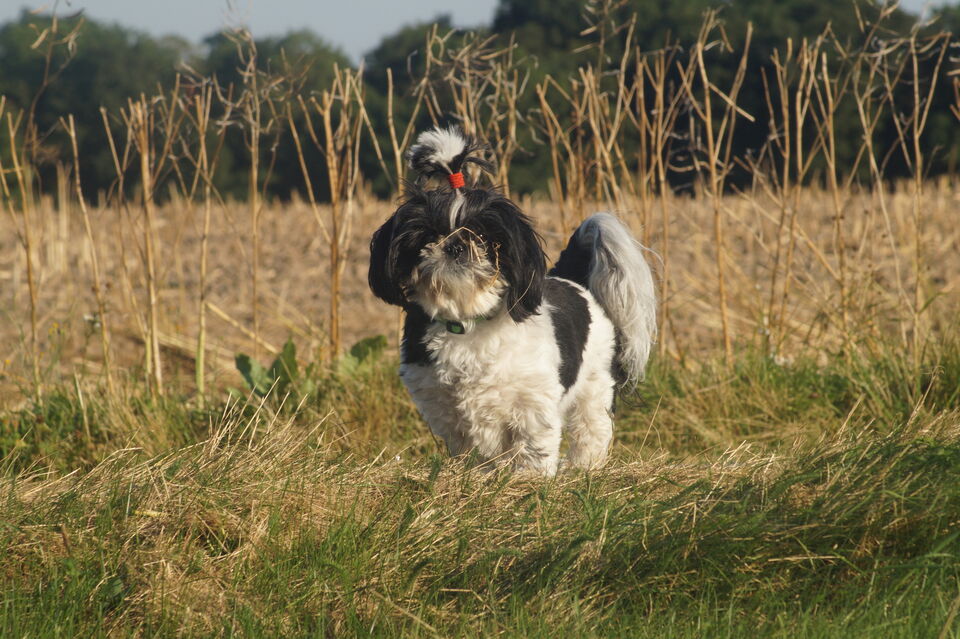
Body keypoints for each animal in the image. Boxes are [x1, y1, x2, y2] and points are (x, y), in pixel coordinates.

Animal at [368, 126, 657, 474]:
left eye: (485, 237)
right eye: (427, 235)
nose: (454, 244)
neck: (467, 321)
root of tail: (572, 278)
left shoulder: (532, 402)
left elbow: (533, 447)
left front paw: (529, 479)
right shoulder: (445, 410)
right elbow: (468, 448)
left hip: (595, 384)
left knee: (592, 428)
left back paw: (584, 467)